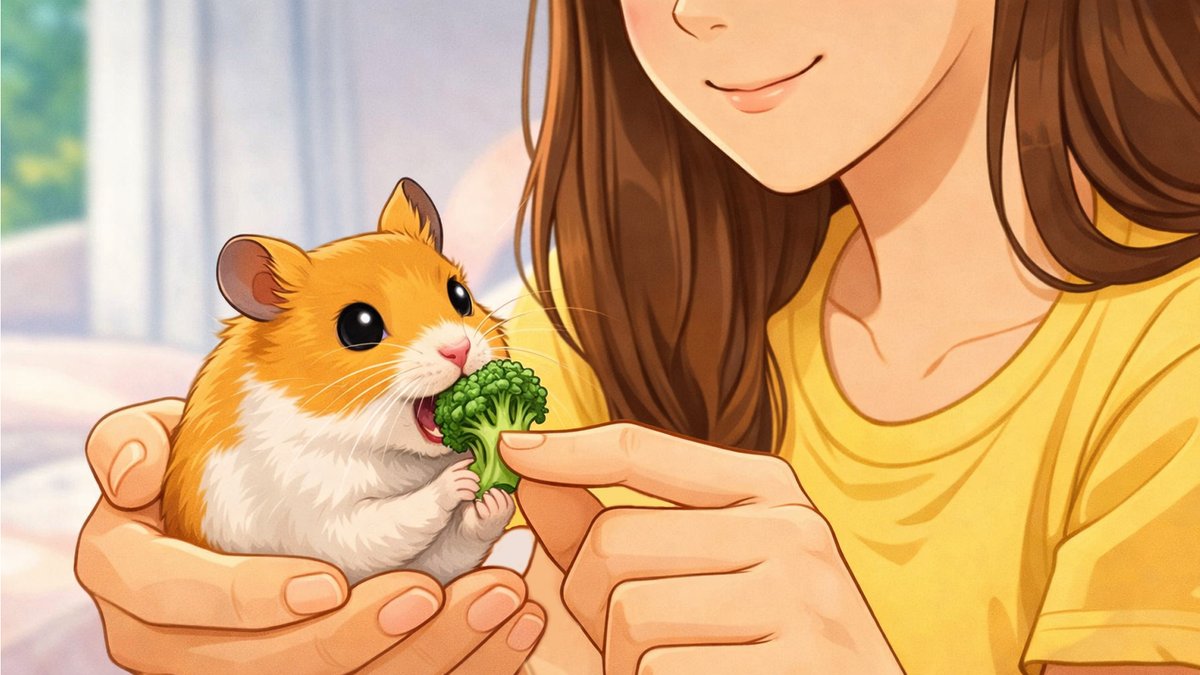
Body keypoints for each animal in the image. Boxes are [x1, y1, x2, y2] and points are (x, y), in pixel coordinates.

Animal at [162, 178, 514, 585]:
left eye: (460, 296)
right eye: (359, 326)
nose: (458, 350)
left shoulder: (437, 558)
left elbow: (457, 542)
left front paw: (497, 499)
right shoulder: (314, 501)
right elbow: (385, 523)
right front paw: (459, 479)